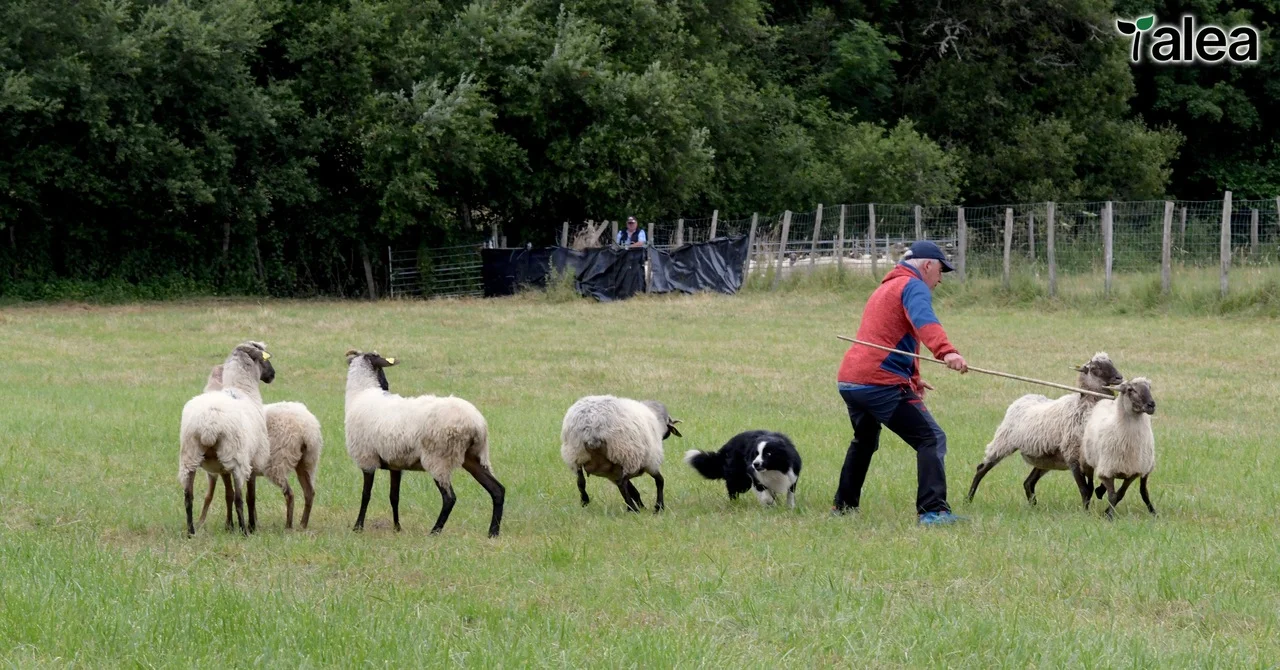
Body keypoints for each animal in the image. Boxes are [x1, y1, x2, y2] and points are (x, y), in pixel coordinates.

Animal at [177, 342, 275, 536]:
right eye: (265, 357)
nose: (273, 375)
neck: (243, 390)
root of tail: (208, 425)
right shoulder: (253, 460)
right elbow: (249, 496)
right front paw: (251, 526)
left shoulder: (221, 467)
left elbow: (227, 495)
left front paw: (229, 526)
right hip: (237, 458)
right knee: (239, 498)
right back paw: (244, 531)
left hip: (189, 456)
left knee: (188, 497)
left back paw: (191, 531)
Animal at [196, 363, 323, 531]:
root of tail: (308, 428)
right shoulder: (248, 470)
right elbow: (247, 496)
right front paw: (253, 523)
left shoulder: (224, 469)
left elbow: (224, 495)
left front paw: (222, 524)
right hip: (307, 461)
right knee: (309, 492)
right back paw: (302, 525)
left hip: (279, 461)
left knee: (290, 494)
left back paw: (288, 526)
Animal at [344, 349, 504, 537]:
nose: (387, 386)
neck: (362, 393)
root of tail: (477, 423)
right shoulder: (395, 463)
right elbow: (394, 497)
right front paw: (397, 528)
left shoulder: (366, 458)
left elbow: (365, 495)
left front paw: (358, 527)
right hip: (473, 456)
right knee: (497, 490)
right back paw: (493, 532)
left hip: (439, 458)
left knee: (449, 498)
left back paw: (435, 531)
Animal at [967, 352, 1123, 505]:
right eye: (1095, 368)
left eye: (1111, 362)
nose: (1119, 378)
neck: (1083, 406)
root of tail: (1023, 398)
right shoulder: (1072, 455)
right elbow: (1085, 490)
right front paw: (1086, 509)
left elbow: (1097, 484)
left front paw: (1100, 491)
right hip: (1003, 442)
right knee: (982, 468)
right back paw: (968, 499)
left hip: (1045, 459)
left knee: (1028, 482)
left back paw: (1033, 506)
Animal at [1076, 377, 1157, 519]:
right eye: (1130, 389)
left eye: (1149, 387)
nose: (1151, 405)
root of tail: (1107, 401)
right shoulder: (1108, 471)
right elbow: (1113, 496)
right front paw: (1109, 516)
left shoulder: (1132, 472)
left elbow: (1119, 494)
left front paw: (1107, 512)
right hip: (1087, 462)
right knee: (1089, 485)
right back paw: (1089, 503)